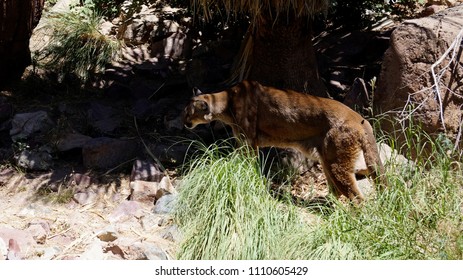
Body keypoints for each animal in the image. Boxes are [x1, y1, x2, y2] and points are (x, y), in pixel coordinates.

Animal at [183, 80, 386, 201]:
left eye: (188, 112)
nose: (184, 122)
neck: (227, 102)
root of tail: (361, 119)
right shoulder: (242, 141)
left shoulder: (249, 142)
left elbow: (249, 163)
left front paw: (249, 176)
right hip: (327, 160)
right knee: (337, 191)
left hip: (337, 164)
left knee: (357, 198)